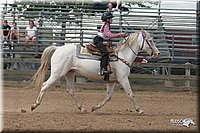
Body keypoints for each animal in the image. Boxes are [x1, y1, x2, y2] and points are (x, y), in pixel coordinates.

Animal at [30, 29, 160, 114]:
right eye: (150, 40)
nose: (158, 53)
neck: (121, 56)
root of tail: (57, 48)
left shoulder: (112, 81)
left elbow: (108, 97)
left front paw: (94, 107)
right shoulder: (123, 79)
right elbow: (130, 94)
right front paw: (140, 110)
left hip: (69, 74)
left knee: (71, 90)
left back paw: (82, 108)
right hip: (57, 74)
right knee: (44, 85)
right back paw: (34, 105)